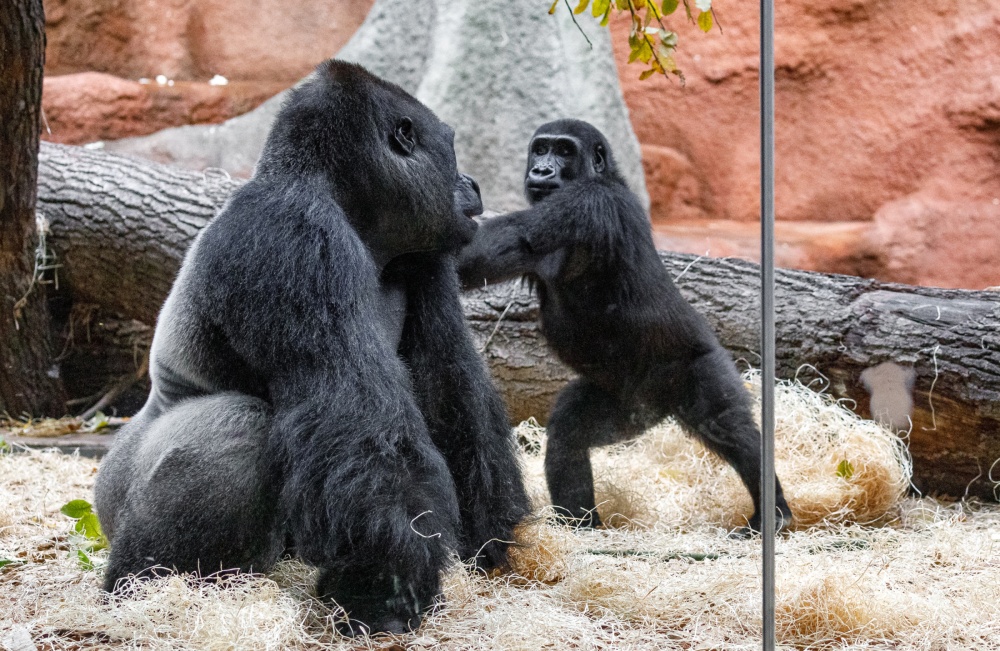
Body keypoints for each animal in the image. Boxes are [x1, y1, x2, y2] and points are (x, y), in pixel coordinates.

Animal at [95, 62, 532, 636]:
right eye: (452, 150)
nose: (473, 185)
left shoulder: (429, 255)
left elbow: (450, 387)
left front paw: (491, 534)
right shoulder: (293, 231)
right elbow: (351, 407)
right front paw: (387, 586)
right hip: (112, 491)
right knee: (238, 425)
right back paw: (147, 582)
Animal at [458, 118, 792, 536]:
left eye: (564, 151)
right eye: (540, 149)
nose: (542, 170)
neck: (603, 175)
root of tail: (660, 408)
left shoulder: (589, 200)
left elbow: (500, 241)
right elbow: (473, 260)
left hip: (700, 365)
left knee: (728, 425)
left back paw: (774, 511)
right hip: (631, 407)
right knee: (569, 430)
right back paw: (580, 523)